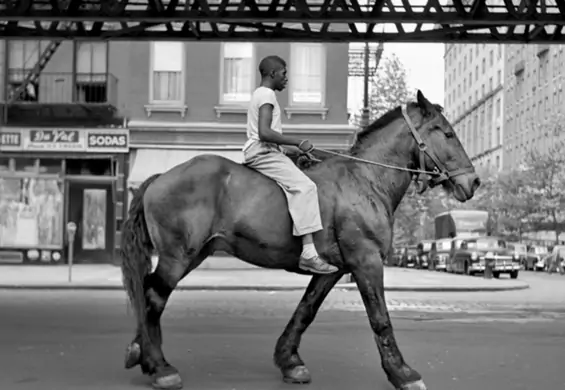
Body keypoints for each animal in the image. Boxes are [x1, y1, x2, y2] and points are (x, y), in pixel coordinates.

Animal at [121, 90, 478, 390]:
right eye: (446, 133)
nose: (473, 181)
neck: (366, 179)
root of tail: (160, 178)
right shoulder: (366, 261)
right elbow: (380, 319)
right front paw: (403, 373)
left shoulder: (333, 269)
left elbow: (306, 310)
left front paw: (289, 360)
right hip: (178, 256)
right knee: (153, 296)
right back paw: (159, 366)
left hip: (195, 253)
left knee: (148, 292)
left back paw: (141, 353)